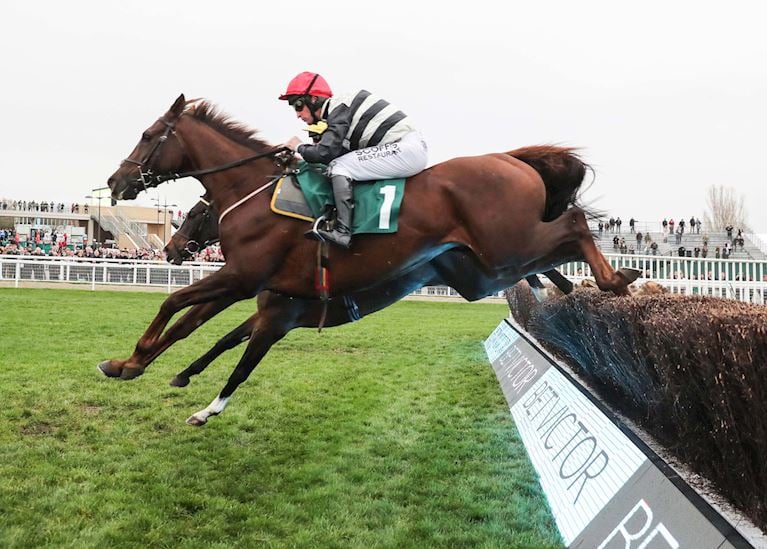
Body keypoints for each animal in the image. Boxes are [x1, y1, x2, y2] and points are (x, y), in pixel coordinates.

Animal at [103, 95, 640, 424]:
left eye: (149, 135)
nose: (115, 182)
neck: (254, 193)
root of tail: (510, 158)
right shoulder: (252, 289)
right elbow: (193, 325)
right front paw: (134, 364)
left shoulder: (246, 281)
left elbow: (178, 308)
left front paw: (137, 363)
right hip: (493, 263)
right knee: (557, 251)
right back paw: (594, 289)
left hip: (507, 243)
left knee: (574, 225)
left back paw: (617, 280)